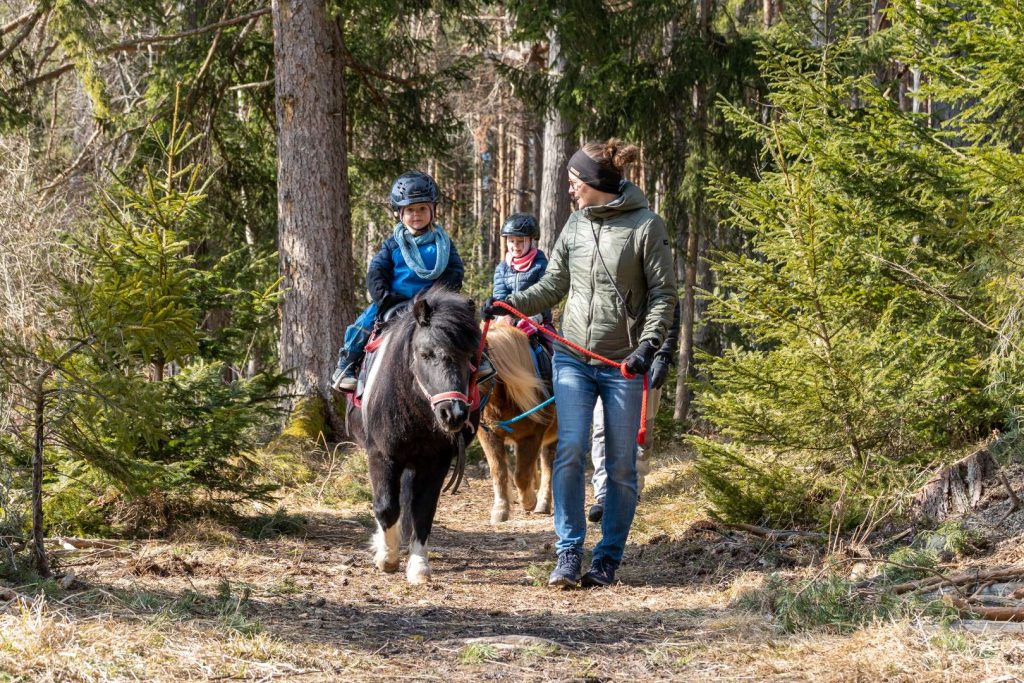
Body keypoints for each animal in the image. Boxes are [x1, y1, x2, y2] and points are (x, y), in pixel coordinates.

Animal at [346, 286, 481, 581]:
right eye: (426, 353)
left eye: (471, 357)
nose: (453, 414)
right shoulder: (382, 456)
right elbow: (385, 507)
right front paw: (387, 558)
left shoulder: (436, 463)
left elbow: (422, 511)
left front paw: (418, 566)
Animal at [481, 323, 557, 528]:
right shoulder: (489, 435)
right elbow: (499, 472)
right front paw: (500, 510)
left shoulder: (532, 436)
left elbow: (521, 475)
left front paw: (529, 501)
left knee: (547, 465)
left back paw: (542, 503)